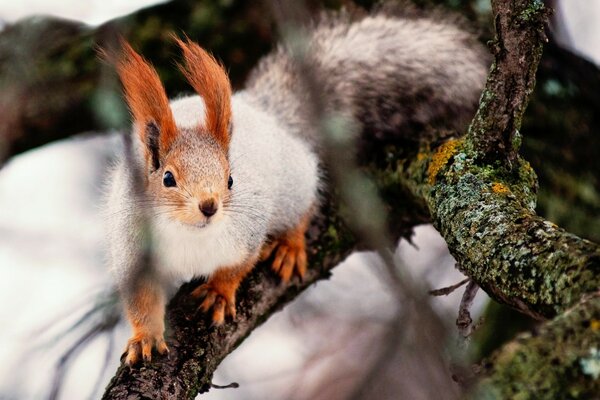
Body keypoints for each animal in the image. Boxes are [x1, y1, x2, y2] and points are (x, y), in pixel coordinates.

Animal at [104, 5, 488, 366]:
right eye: (168, 178)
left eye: (230, 178)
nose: (209, 206)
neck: (189, 233)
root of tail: (265, 112)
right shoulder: (133, 247)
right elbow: (140, 300)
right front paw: (144, 338)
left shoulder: (247, 230)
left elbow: (238, 265)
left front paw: (220, 292)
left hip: (294, 186)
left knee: (303, 207)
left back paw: (289, 245)